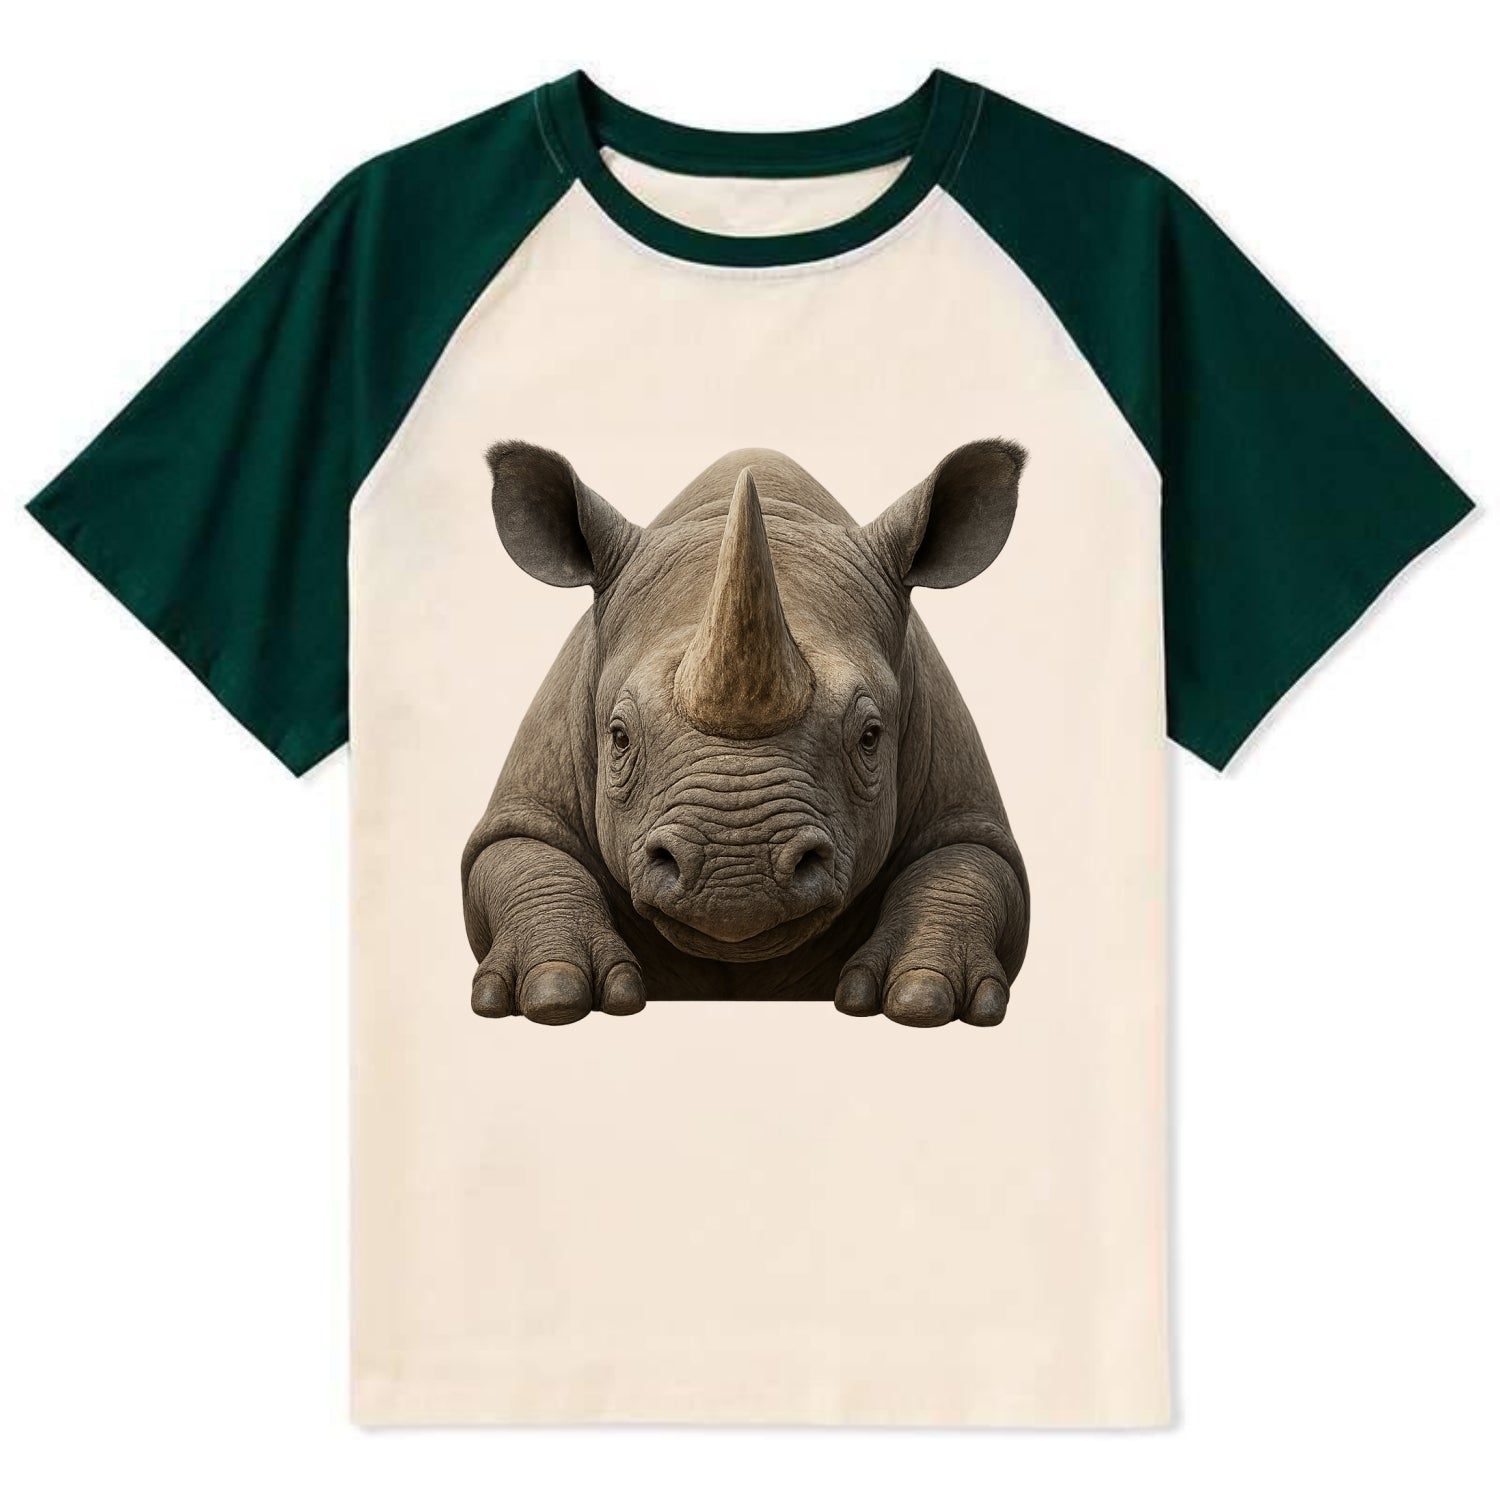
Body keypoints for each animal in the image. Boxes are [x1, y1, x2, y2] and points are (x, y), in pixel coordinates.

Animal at [461, 440, 1030, 1028]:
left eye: (870, 737)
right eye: (618, 737)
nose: (736, 876)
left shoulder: (962, 800)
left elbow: (967, 864)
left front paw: (923, 998)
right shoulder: (529, 798)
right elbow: (520, 853)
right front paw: (553, 994)